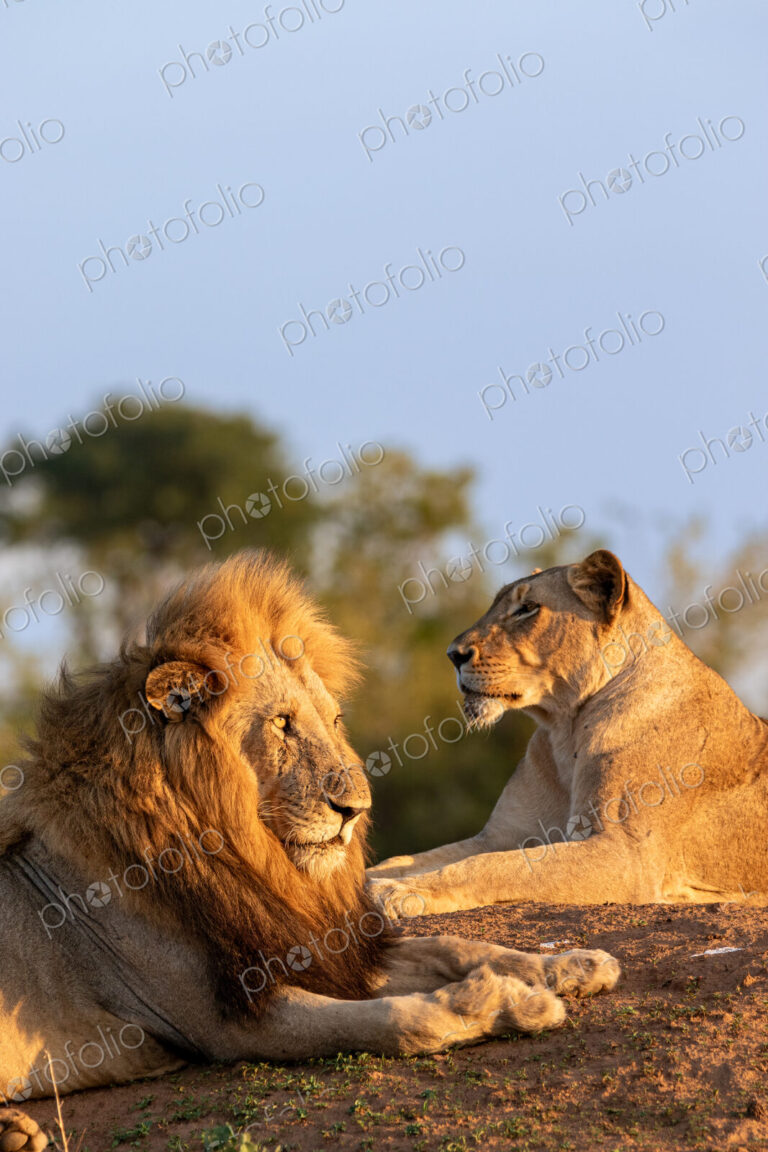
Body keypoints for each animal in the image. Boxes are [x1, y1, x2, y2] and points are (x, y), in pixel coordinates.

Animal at [0, 550, 619, 1147]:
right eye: (281, 724)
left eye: (335, 719)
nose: (356, 809)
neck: (248, 861)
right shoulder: (223, 1021)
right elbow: (392, 1020)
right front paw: (507, 1003)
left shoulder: (321, 952)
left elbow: (454, 946)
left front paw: (572, 965)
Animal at [367, 549, 768, 918]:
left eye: (527, 608)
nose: (453, 654)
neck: (565, 730)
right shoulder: (502, 835)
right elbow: (408, 859)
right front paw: (375, 880)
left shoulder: (626, 854)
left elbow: (492, 866)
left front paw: (400, 892)